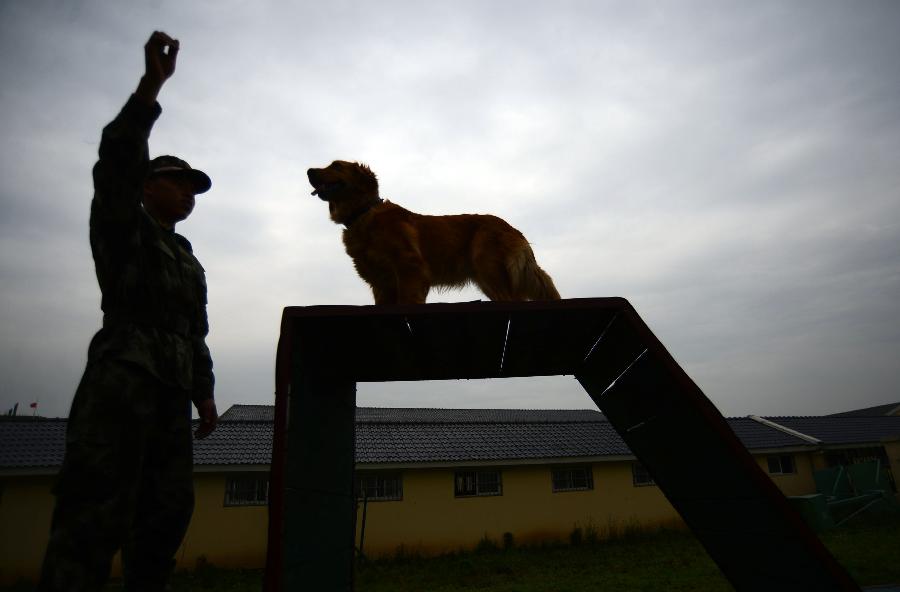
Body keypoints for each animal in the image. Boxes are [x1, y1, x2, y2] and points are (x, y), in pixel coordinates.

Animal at [310, 160, 564, 306]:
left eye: (337, 166)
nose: (309, 171)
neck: (363, 213)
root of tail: (514, 229)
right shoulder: (381, 283)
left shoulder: (410, 268)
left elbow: (409, 301)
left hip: (487, 266)